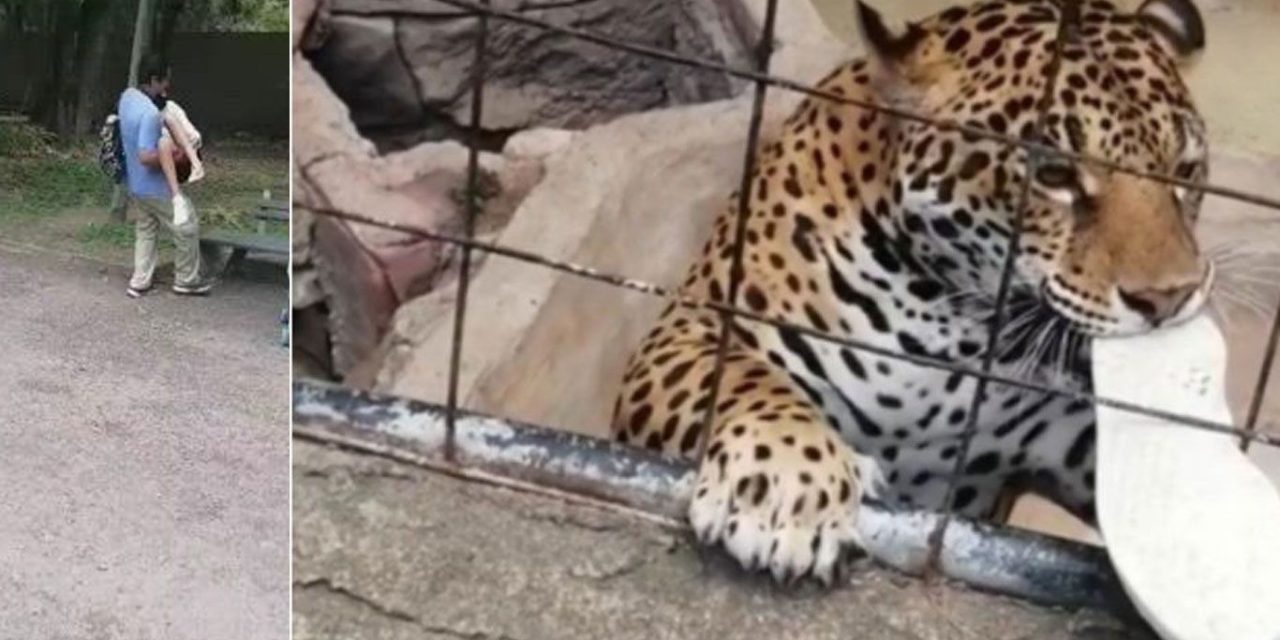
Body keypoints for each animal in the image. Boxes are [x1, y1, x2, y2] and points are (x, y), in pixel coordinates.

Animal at [611, 0, 1212, 585]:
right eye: (1054, 175)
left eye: (1186, 170)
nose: (1170, 298)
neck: (953, 322)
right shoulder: (693, 328)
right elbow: (745, 380)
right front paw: (787, 486)